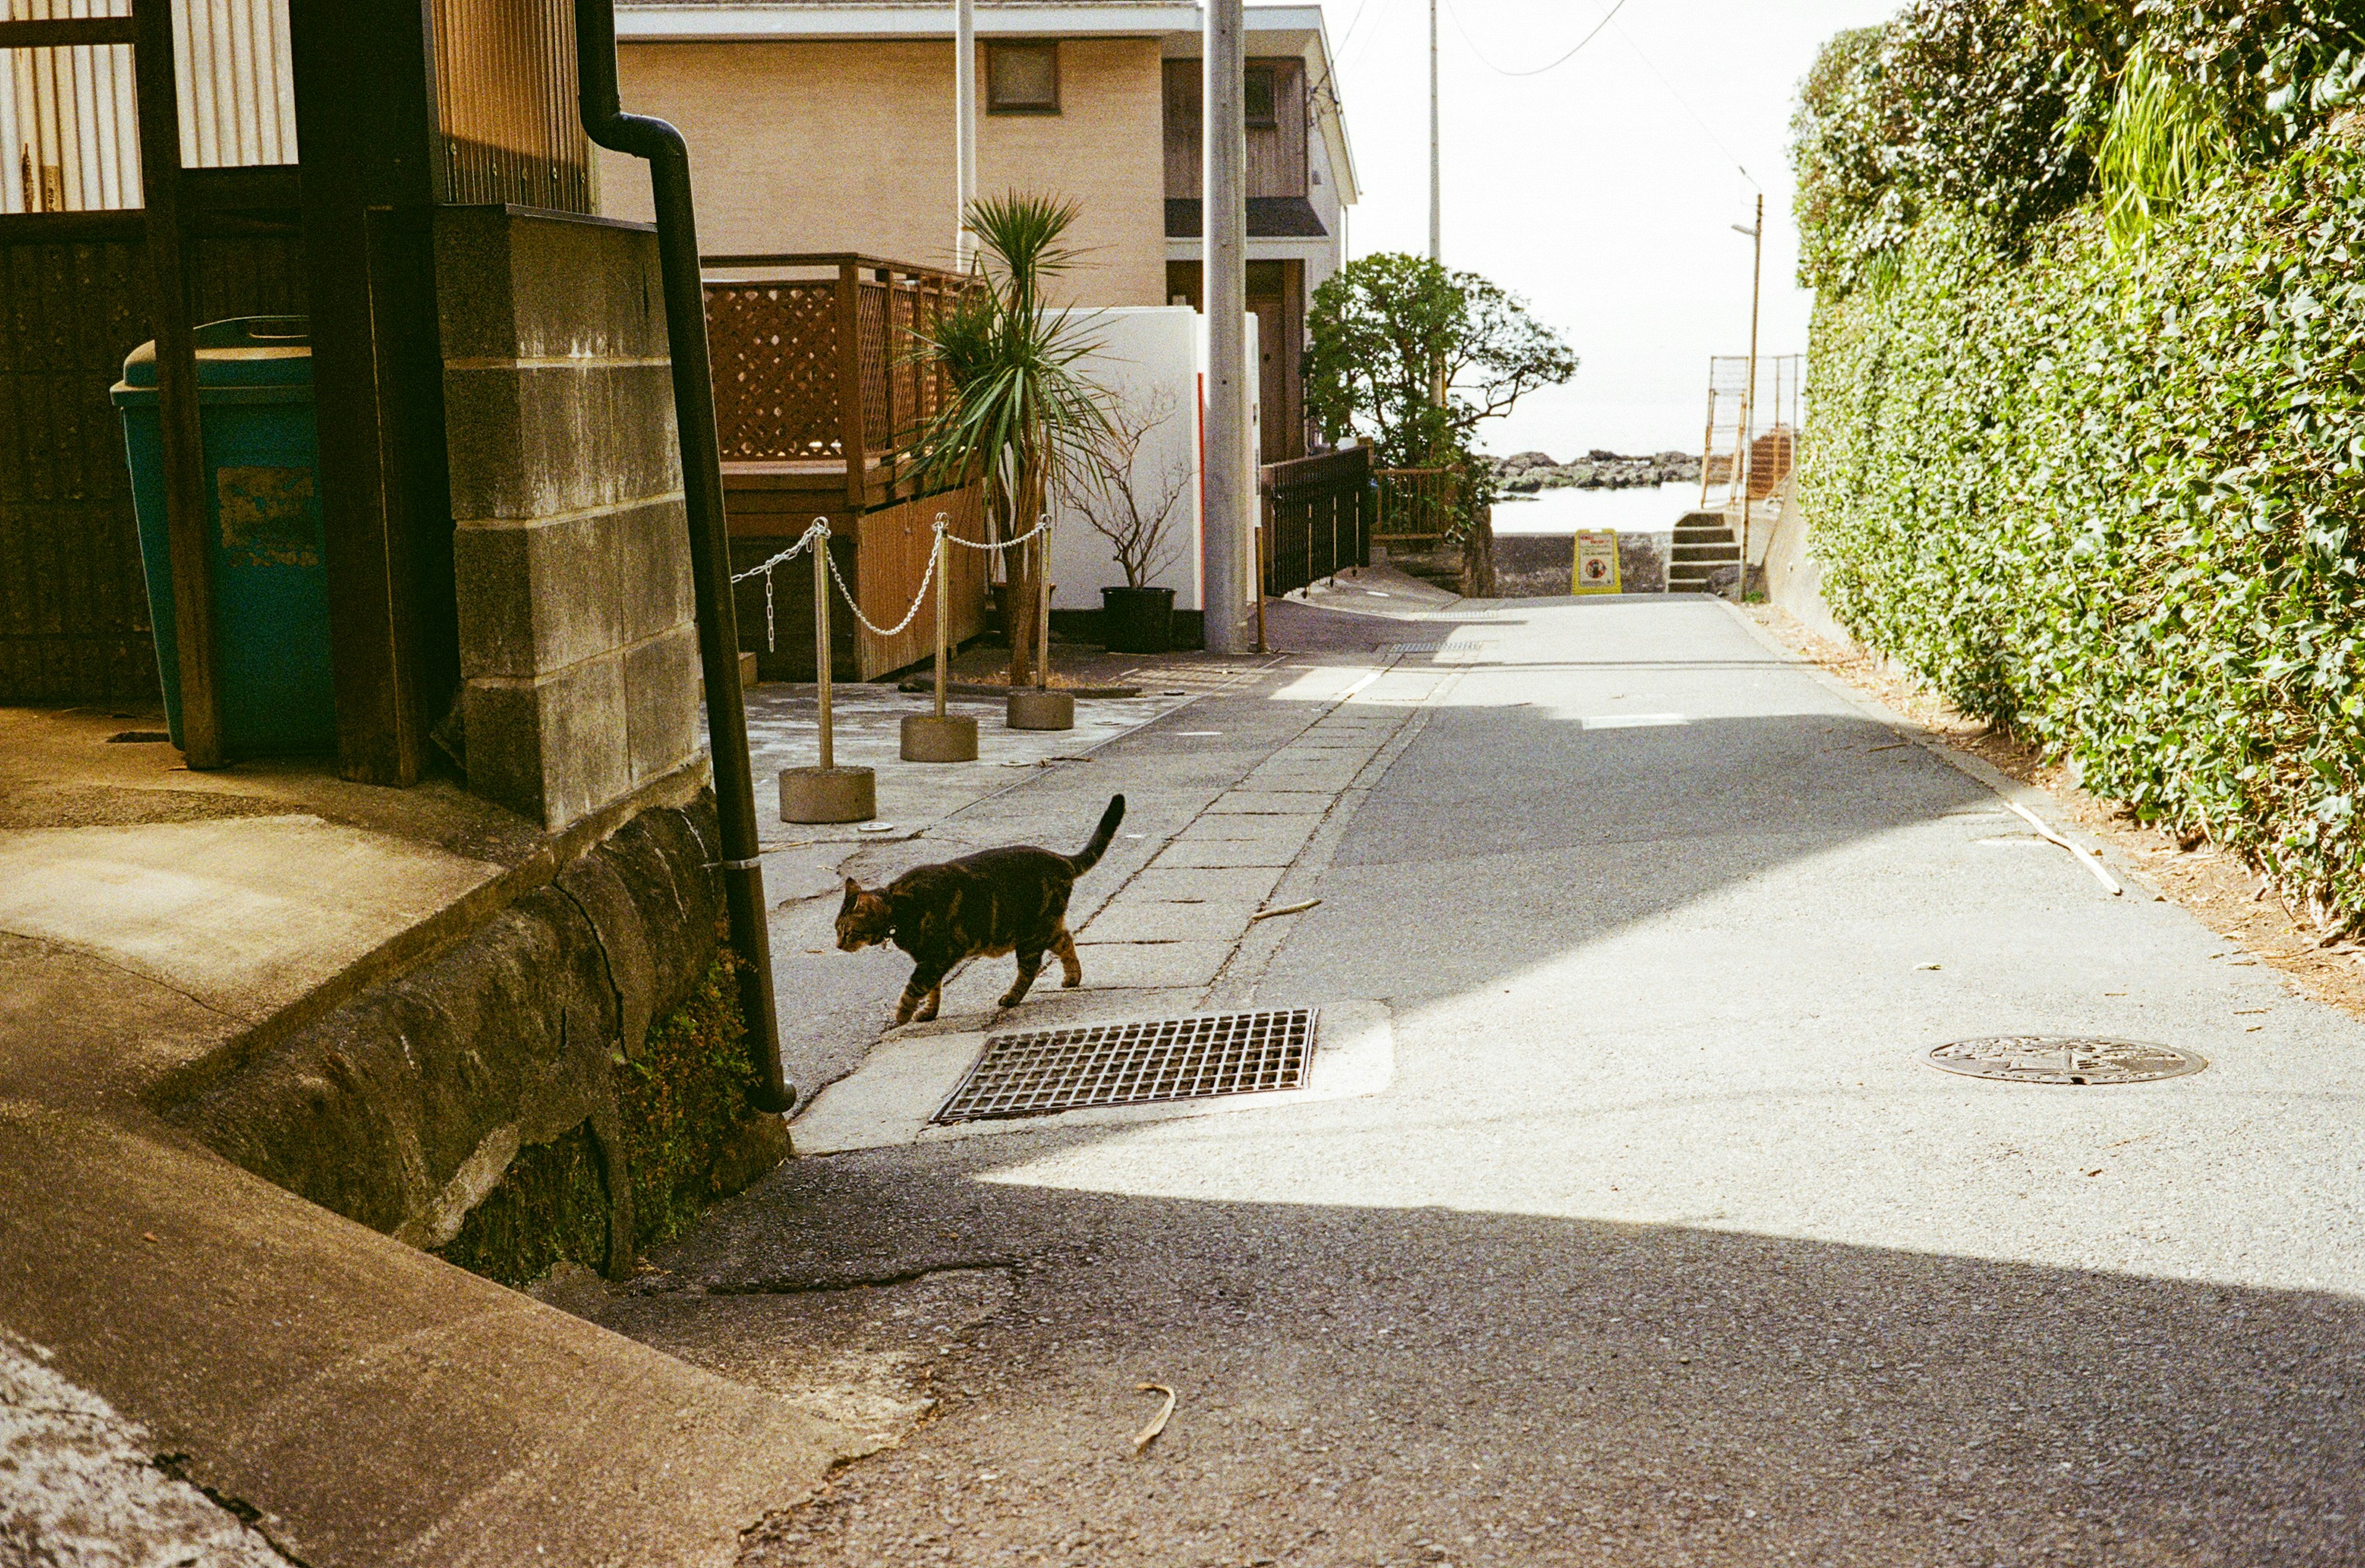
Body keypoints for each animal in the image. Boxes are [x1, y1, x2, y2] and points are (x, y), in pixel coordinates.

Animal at [832, 790, 1125, 1026]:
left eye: (846, 931)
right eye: (836, 930)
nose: (838, 945)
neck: (899, 907)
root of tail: (1060, 859)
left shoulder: (934, 958)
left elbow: (913, 989)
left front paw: (901, 1016)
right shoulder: (932, 961)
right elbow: (934, 990)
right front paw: (929, 1012)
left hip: (1031, 935)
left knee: (1030, 969)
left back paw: (1012, 997)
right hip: (1042, 928)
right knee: (1066, 940)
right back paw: (1073, 977)